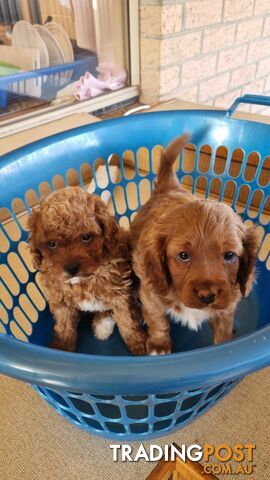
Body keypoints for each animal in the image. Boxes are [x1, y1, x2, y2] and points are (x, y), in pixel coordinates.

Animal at [28, 186, 146, 354]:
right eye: (51, 244)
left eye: (86, 237)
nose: (71, 268)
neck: (84, 279)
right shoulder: (60, 300)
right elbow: (64, 326)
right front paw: (62, 348)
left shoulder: (119, 293)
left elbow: (127, 321)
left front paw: (139, 344)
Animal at [131, 134, 260, 352]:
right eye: (183, 256)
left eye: (229, 255)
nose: (207, 296)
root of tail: (169, 188)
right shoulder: (150, 295)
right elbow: (158, 321)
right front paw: (158, 344)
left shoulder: (227, 306)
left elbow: (223, 329)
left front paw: (224, 345)